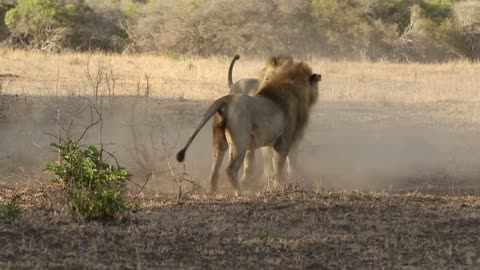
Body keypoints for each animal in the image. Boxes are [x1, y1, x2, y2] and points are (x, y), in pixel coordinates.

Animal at [175, 58, 318, 194]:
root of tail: (227, 99)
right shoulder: (283, 140)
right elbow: (279, 164)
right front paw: (279, 186)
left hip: (219, 140)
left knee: (215, 167)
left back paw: (212, 190)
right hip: (240, 141)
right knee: (230, 169)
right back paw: (241, 192)